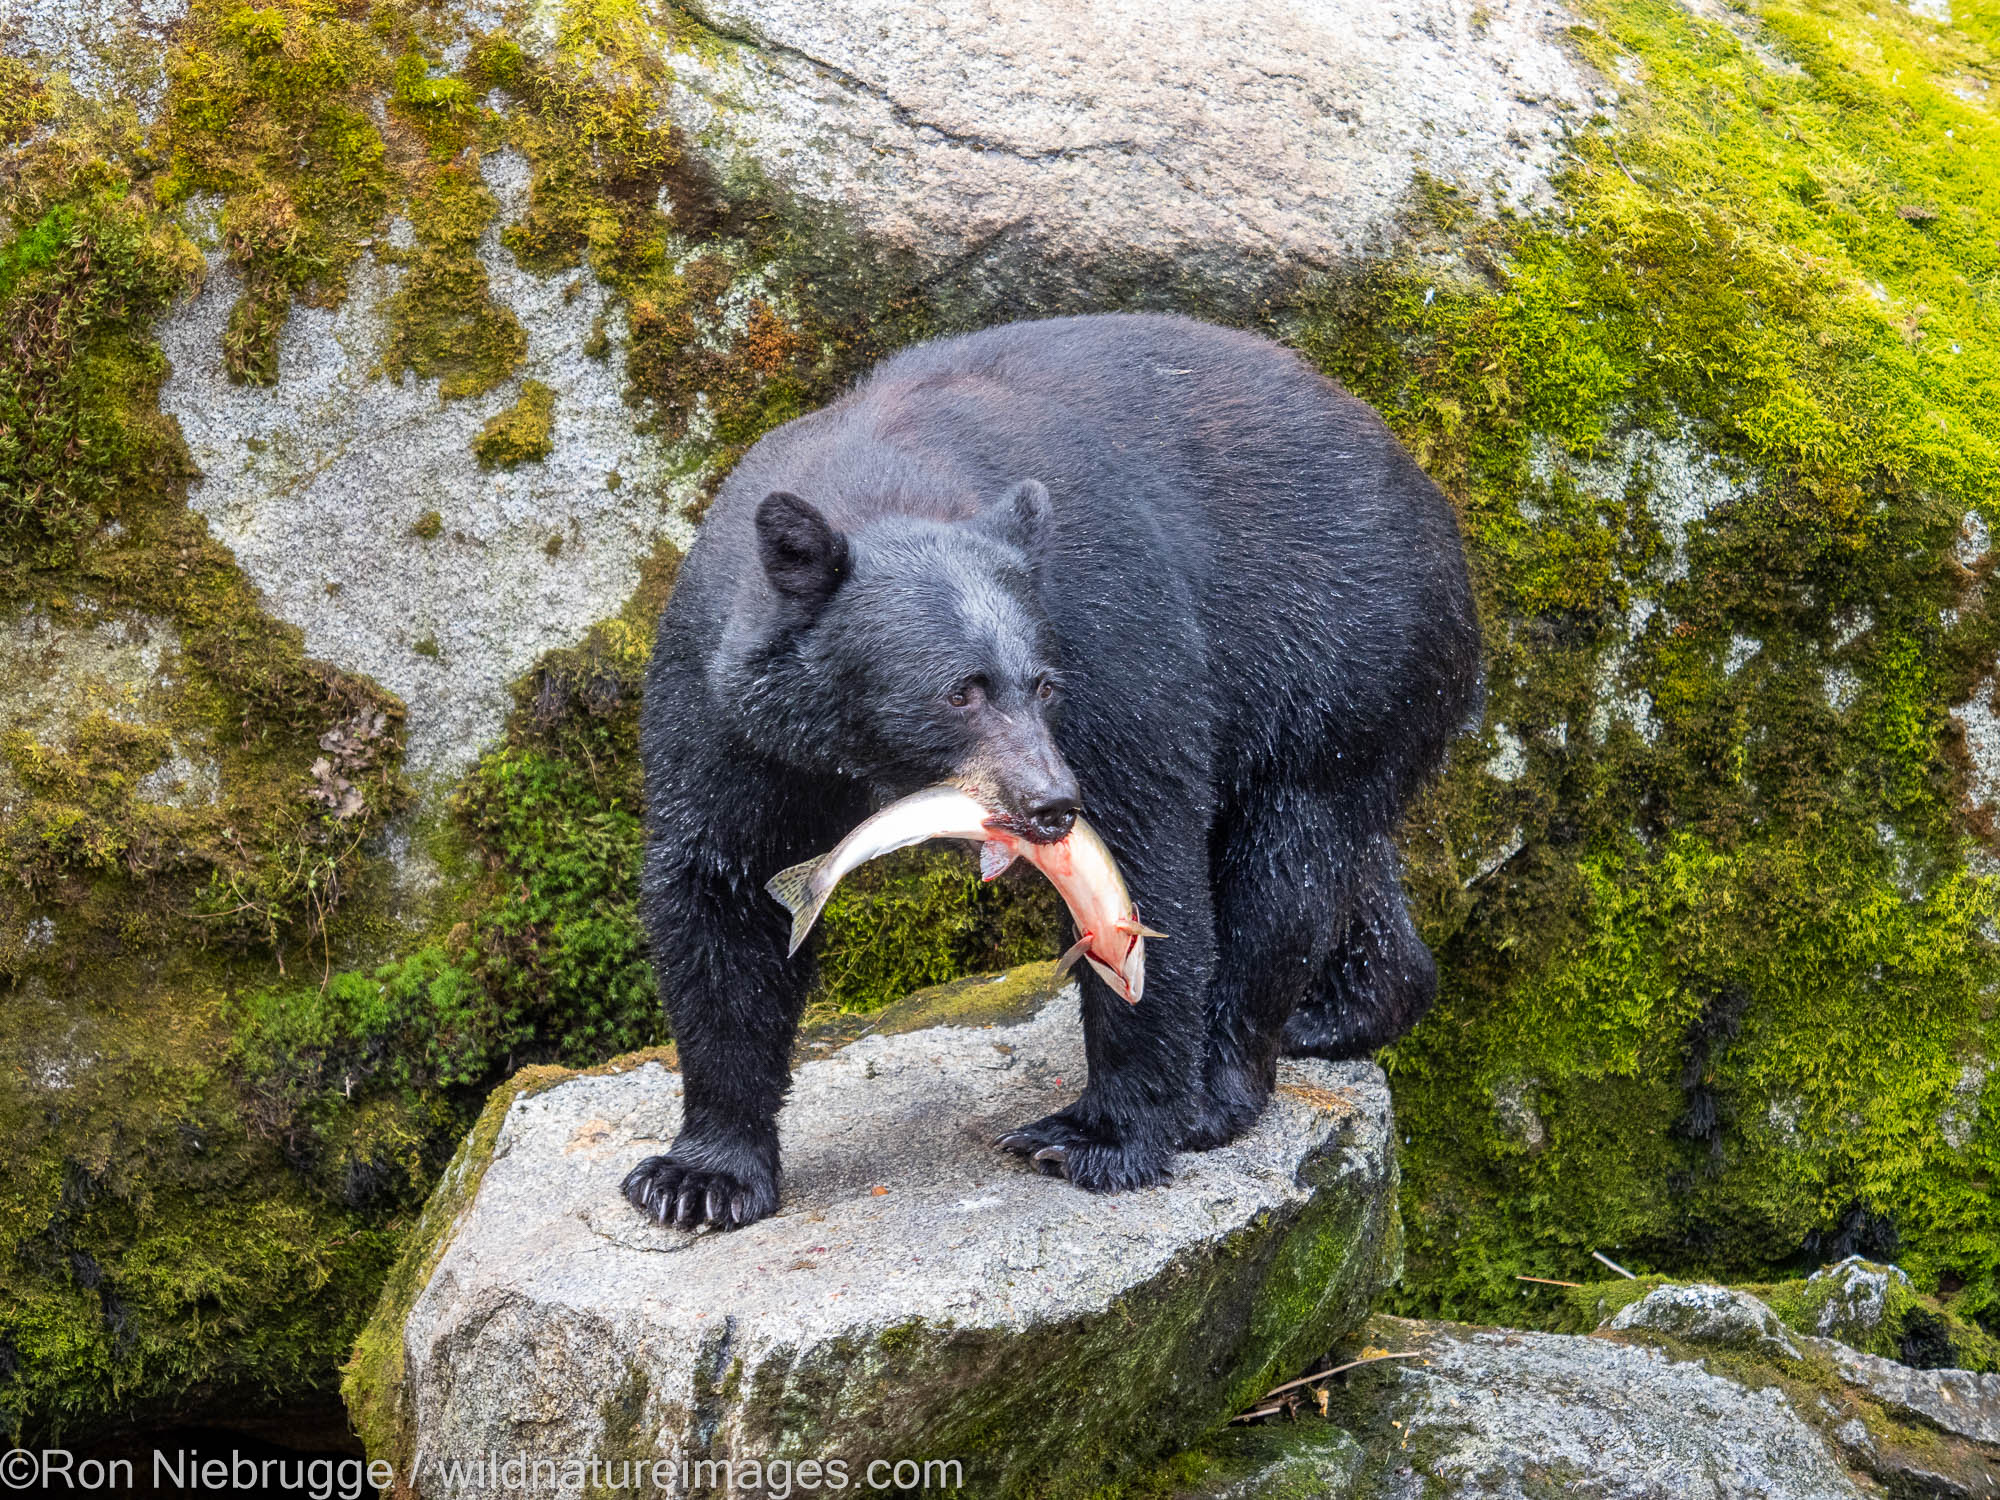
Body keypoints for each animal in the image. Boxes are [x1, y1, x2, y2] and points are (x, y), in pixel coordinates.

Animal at [624, 312, 1488, 1224]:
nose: (1052, 805)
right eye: (960, 690)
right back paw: (1347, 1009)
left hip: (1339, 655)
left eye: (1042, 684)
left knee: (1284, 873)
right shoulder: (725, 704)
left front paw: (1100, 1134)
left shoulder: (1105, 632)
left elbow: (1146, 851)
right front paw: (698, 1176)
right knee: (1347, 862)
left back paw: (1220, 1086)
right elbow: (723, 885)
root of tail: (1435, 505)